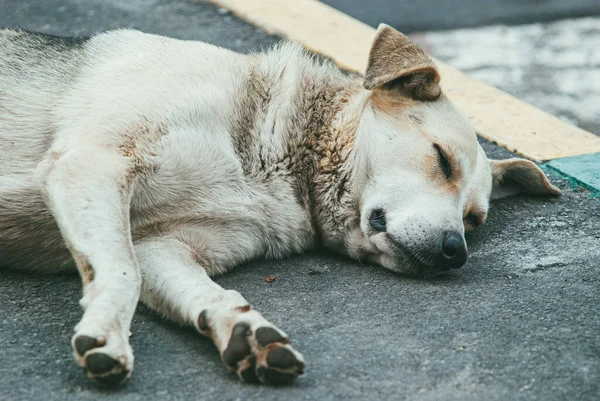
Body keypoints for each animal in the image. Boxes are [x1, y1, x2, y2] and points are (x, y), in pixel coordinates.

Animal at [0, 24, 560, 384]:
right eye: (442, 160)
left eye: (474, 220)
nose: (455, 252)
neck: (281, 159)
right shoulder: (93, 161)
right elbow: (120, 272)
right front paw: (106, 334)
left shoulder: (159, 243)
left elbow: (197, 288)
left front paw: (245, 331)